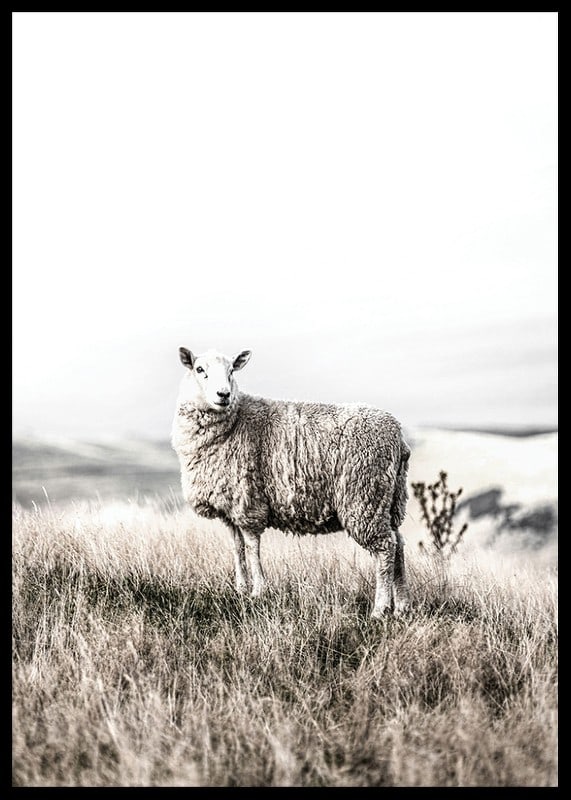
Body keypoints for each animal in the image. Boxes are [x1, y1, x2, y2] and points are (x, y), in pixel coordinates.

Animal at [171, 346, 411, 618]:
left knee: (385, 548)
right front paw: (240, 589)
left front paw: (258, 591)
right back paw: (402, 607)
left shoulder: (249, 502)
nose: (224, 394)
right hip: (389, 499)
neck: (235, 421)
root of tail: (398, 436)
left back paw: (380, 609)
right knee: (398, 545)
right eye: (199, 369)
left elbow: (252, 548)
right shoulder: (230, 508)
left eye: (232, 370)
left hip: (364, 496)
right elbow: (237, 548)